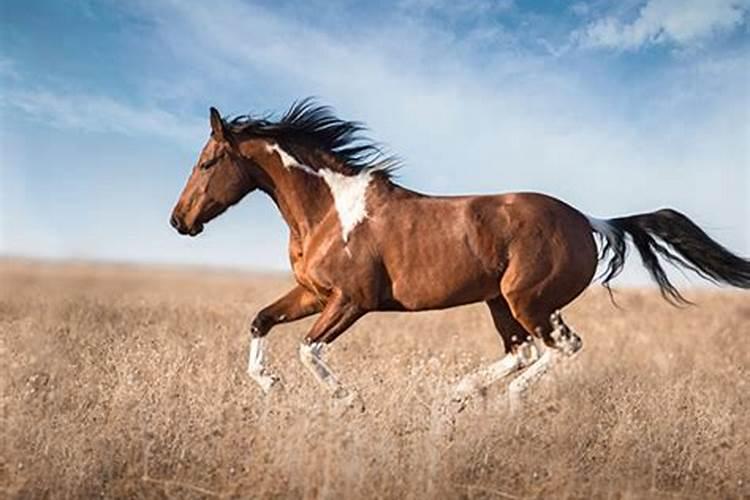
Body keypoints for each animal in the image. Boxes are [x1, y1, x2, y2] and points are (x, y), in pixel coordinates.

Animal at [170, 99, 750, 408]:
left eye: (207, 162)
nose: (179, 221)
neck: (330, 210)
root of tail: (588, 220)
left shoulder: (352, 300)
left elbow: (308, 349)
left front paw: (348, 400)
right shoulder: (313, 293)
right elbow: (261, 321)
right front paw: (267, 384)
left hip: (528, 300)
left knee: (560, 347)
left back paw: (506, 403)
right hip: (501, 302)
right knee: (524, 351)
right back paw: (457, 394)